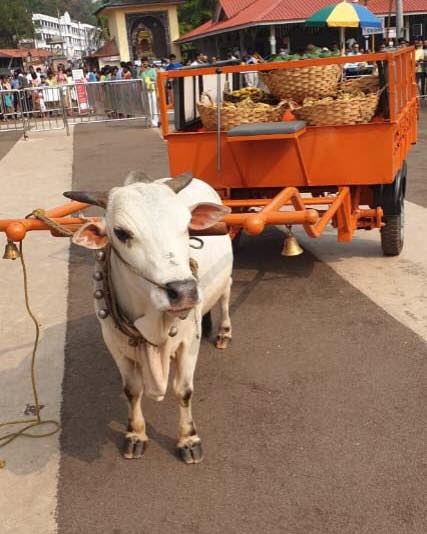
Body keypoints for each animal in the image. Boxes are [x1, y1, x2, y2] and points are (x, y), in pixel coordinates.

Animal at [64, 173, 234, 464]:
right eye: (121, 233)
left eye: (186, 225)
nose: (184, 292)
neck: (153, 319)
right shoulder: (115, 344)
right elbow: (132, 390)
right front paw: (135, 434)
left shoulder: (189, 343)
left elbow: (183, 391)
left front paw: (189, 439)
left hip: (225, 276)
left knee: (225, 294)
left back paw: (223, 331)